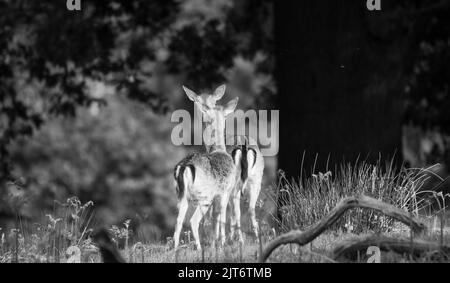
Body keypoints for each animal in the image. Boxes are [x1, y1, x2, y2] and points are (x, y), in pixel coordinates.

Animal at [172, 86, 243, 251]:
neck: (219, 149)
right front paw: (222, 244)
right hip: (204, 197)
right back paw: (199, 249)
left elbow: (213, 220)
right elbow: (222, 216)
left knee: (179, 221)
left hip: (181, 195)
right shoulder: (225, 191)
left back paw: (174, 249)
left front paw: (214, 243)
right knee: (193, 221)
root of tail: (185, 167)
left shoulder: (217, 195)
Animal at [184, 85, 266, 245]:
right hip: (256, 180)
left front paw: (219, 239)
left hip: (235, 185)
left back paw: (238, 240)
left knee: (234, 211)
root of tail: (245, 147)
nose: (204, 109)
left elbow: (218, 213)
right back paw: (255, 239)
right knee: (250, 208)